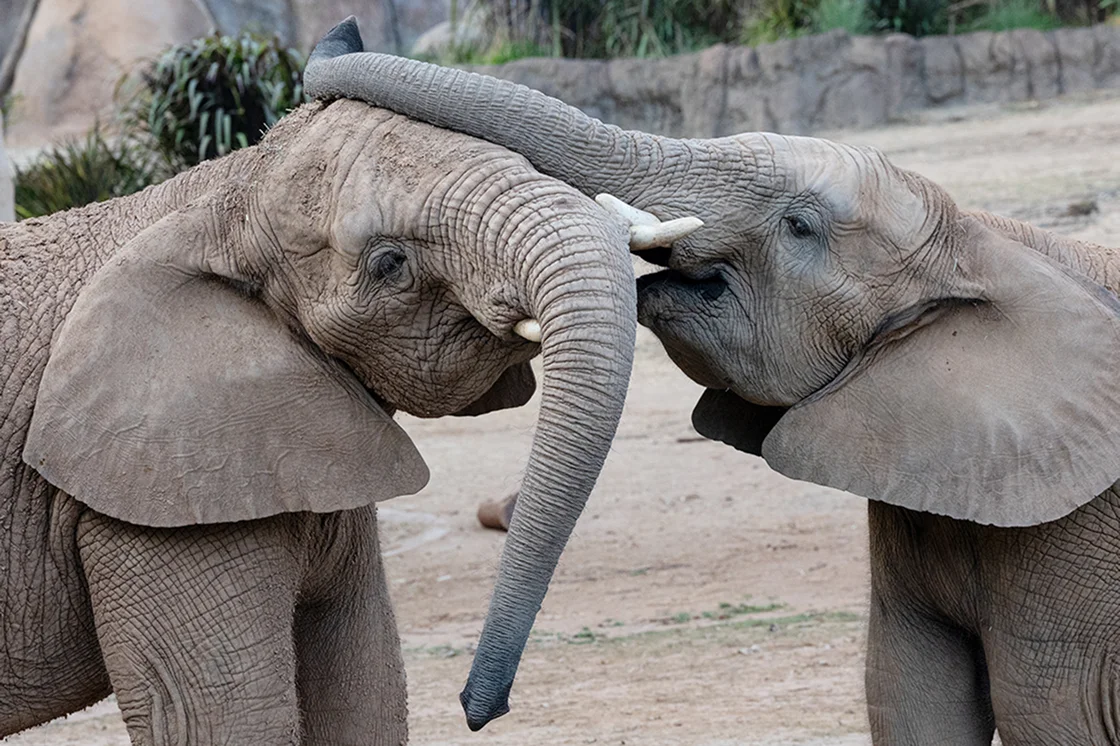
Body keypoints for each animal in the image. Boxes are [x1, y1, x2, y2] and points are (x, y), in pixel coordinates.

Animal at [0, 73, 655, 741]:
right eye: (390, 263)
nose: (479, 707)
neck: (222, 193)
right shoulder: (147, 495)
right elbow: (222, 721)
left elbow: (364, 690)